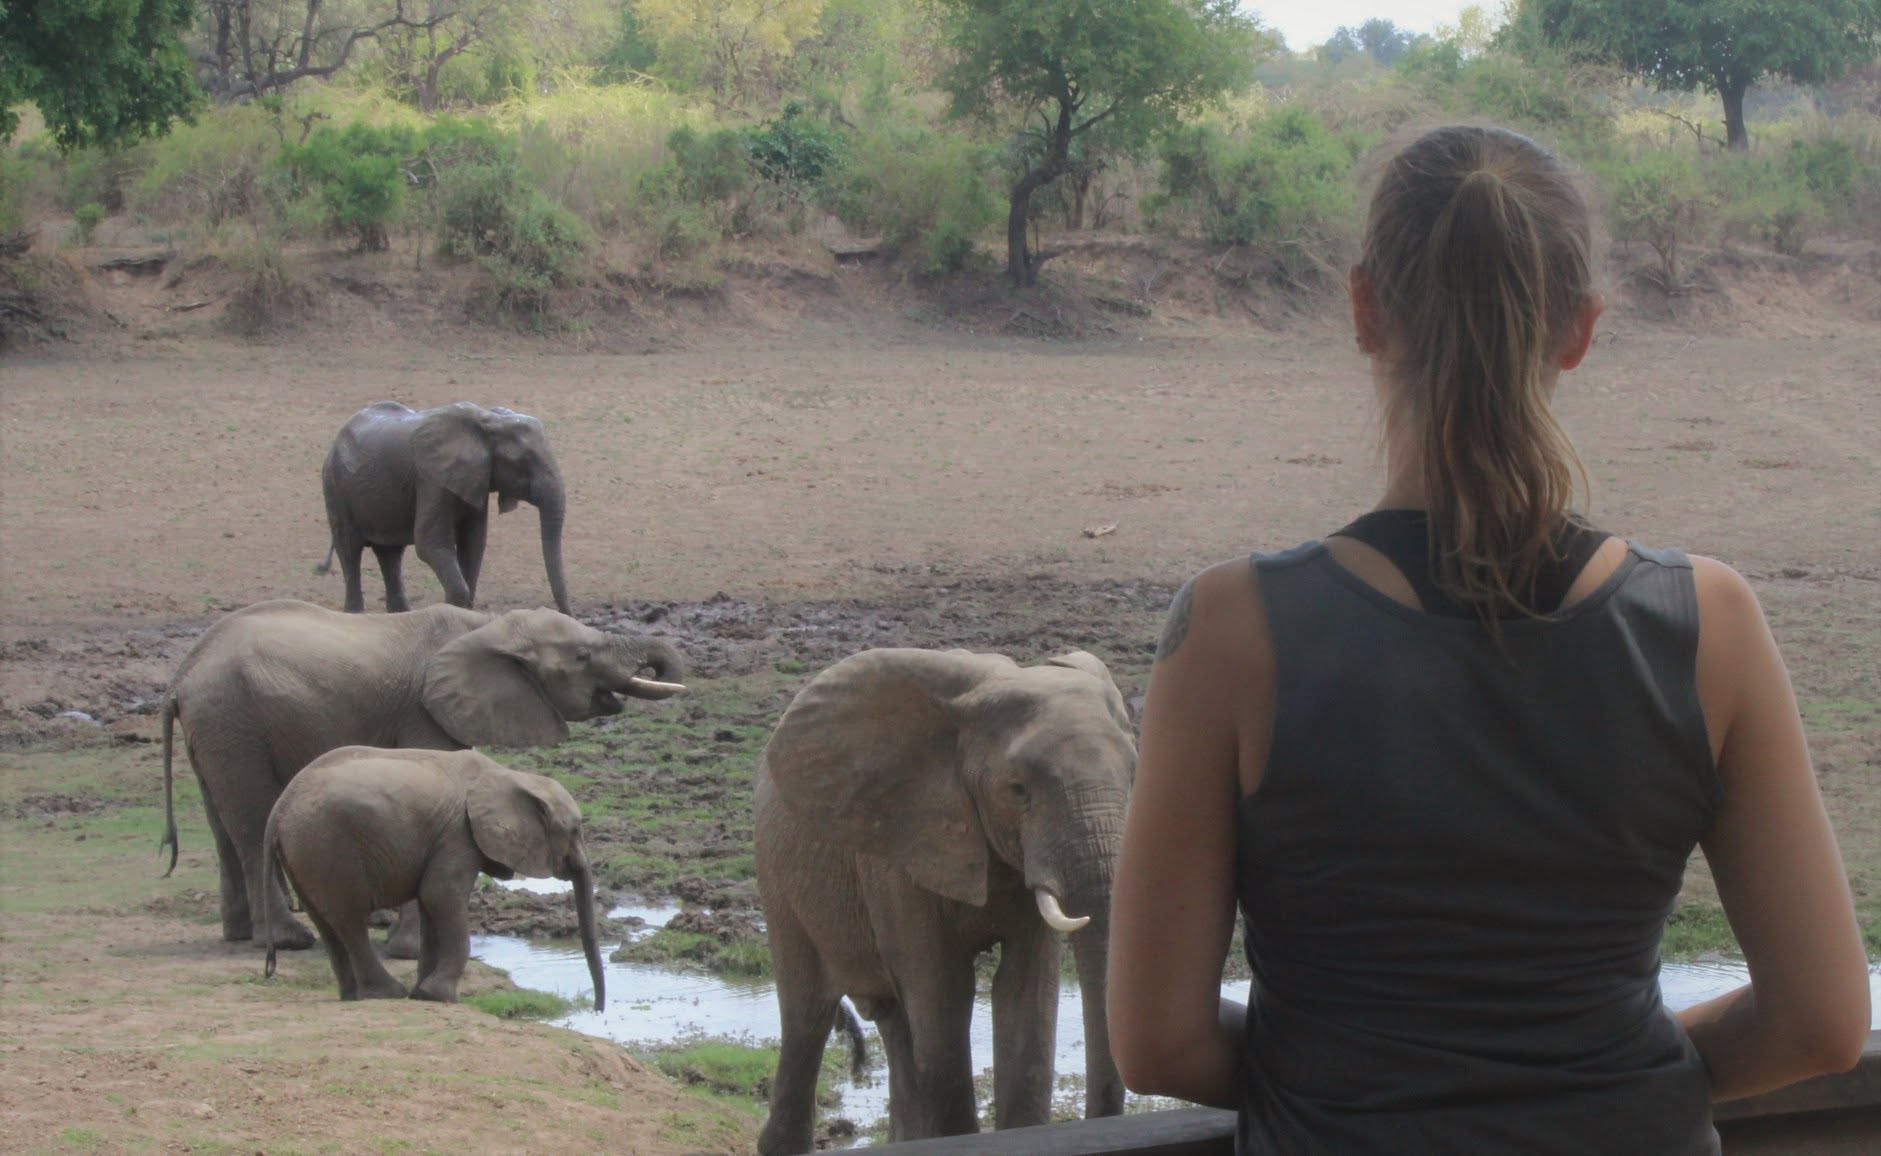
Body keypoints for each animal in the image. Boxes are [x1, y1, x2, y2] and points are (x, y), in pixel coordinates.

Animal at [159, 598, 685, 953]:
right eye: (581, 657)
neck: (486, 625)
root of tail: (181, 676)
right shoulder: (425, 713)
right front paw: (410, 951)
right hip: (234, 719)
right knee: (250, 822)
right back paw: (290, 940)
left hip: (218, 726)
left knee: (221, 823)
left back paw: (239, 935)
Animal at [263, 746, 606, 1009]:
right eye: (575, 830)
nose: (597, 1009)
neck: (510, 776)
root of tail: (278, 810)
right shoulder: (459, 836)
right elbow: (440, 896)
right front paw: (438, 996)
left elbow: (431, 904)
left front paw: (423, 994)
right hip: (328, 846)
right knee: (349, 919)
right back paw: (386, 994)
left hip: (306, 852)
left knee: (324, 920)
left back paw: (353, 996)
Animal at [316, 401, 572, 615]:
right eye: (523, 462)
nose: (568, 615)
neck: (488, 421)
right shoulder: (432, 480)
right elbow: (430, 543)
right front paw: (451, 611)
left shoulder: (474, 479)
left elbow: (474, 543)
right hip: (335, 484)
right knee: (349, 548)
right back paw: (355, 613)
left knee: (390, 554)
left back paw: (400, 613)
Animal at [754, 647, 1137, 1153]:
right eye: (1019, 790)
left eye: (1133, 776)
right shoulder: (899, 847)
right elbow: (943, 990)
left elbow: (1026, 992)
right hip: (778, 874)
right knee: (807, 1014)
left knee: (895, 1024)